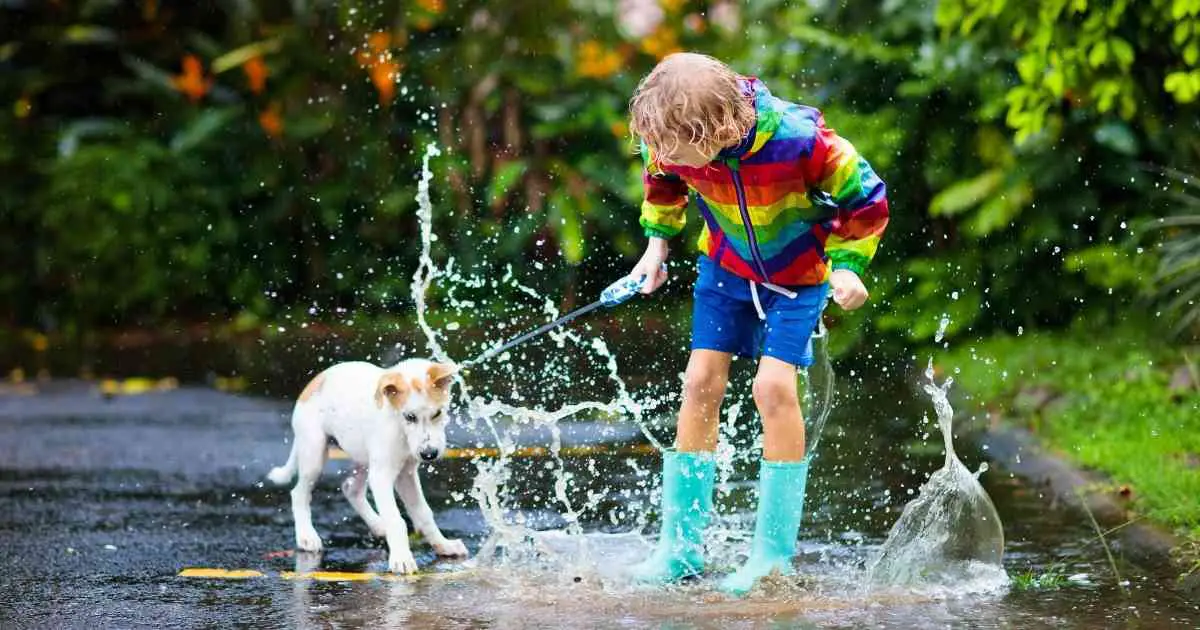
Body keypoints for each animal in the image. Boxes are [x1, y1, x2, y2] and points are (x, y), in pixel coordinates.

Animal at [268, 357, 468, 568]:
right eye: (409, 417)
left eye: (437, 413)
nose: (429, 454)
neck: (397, 423)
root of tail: (316, 381)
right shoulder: (382, 476)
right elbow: (395, 519)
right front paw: (401, 559)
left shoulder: (406, 474)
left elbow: (423, 512)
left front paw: (443, 545)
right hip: (314, 453)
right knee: (299, 493)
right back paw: (306, 536)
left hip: (363, 458)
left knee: (351, 489)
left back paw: (378, 525)